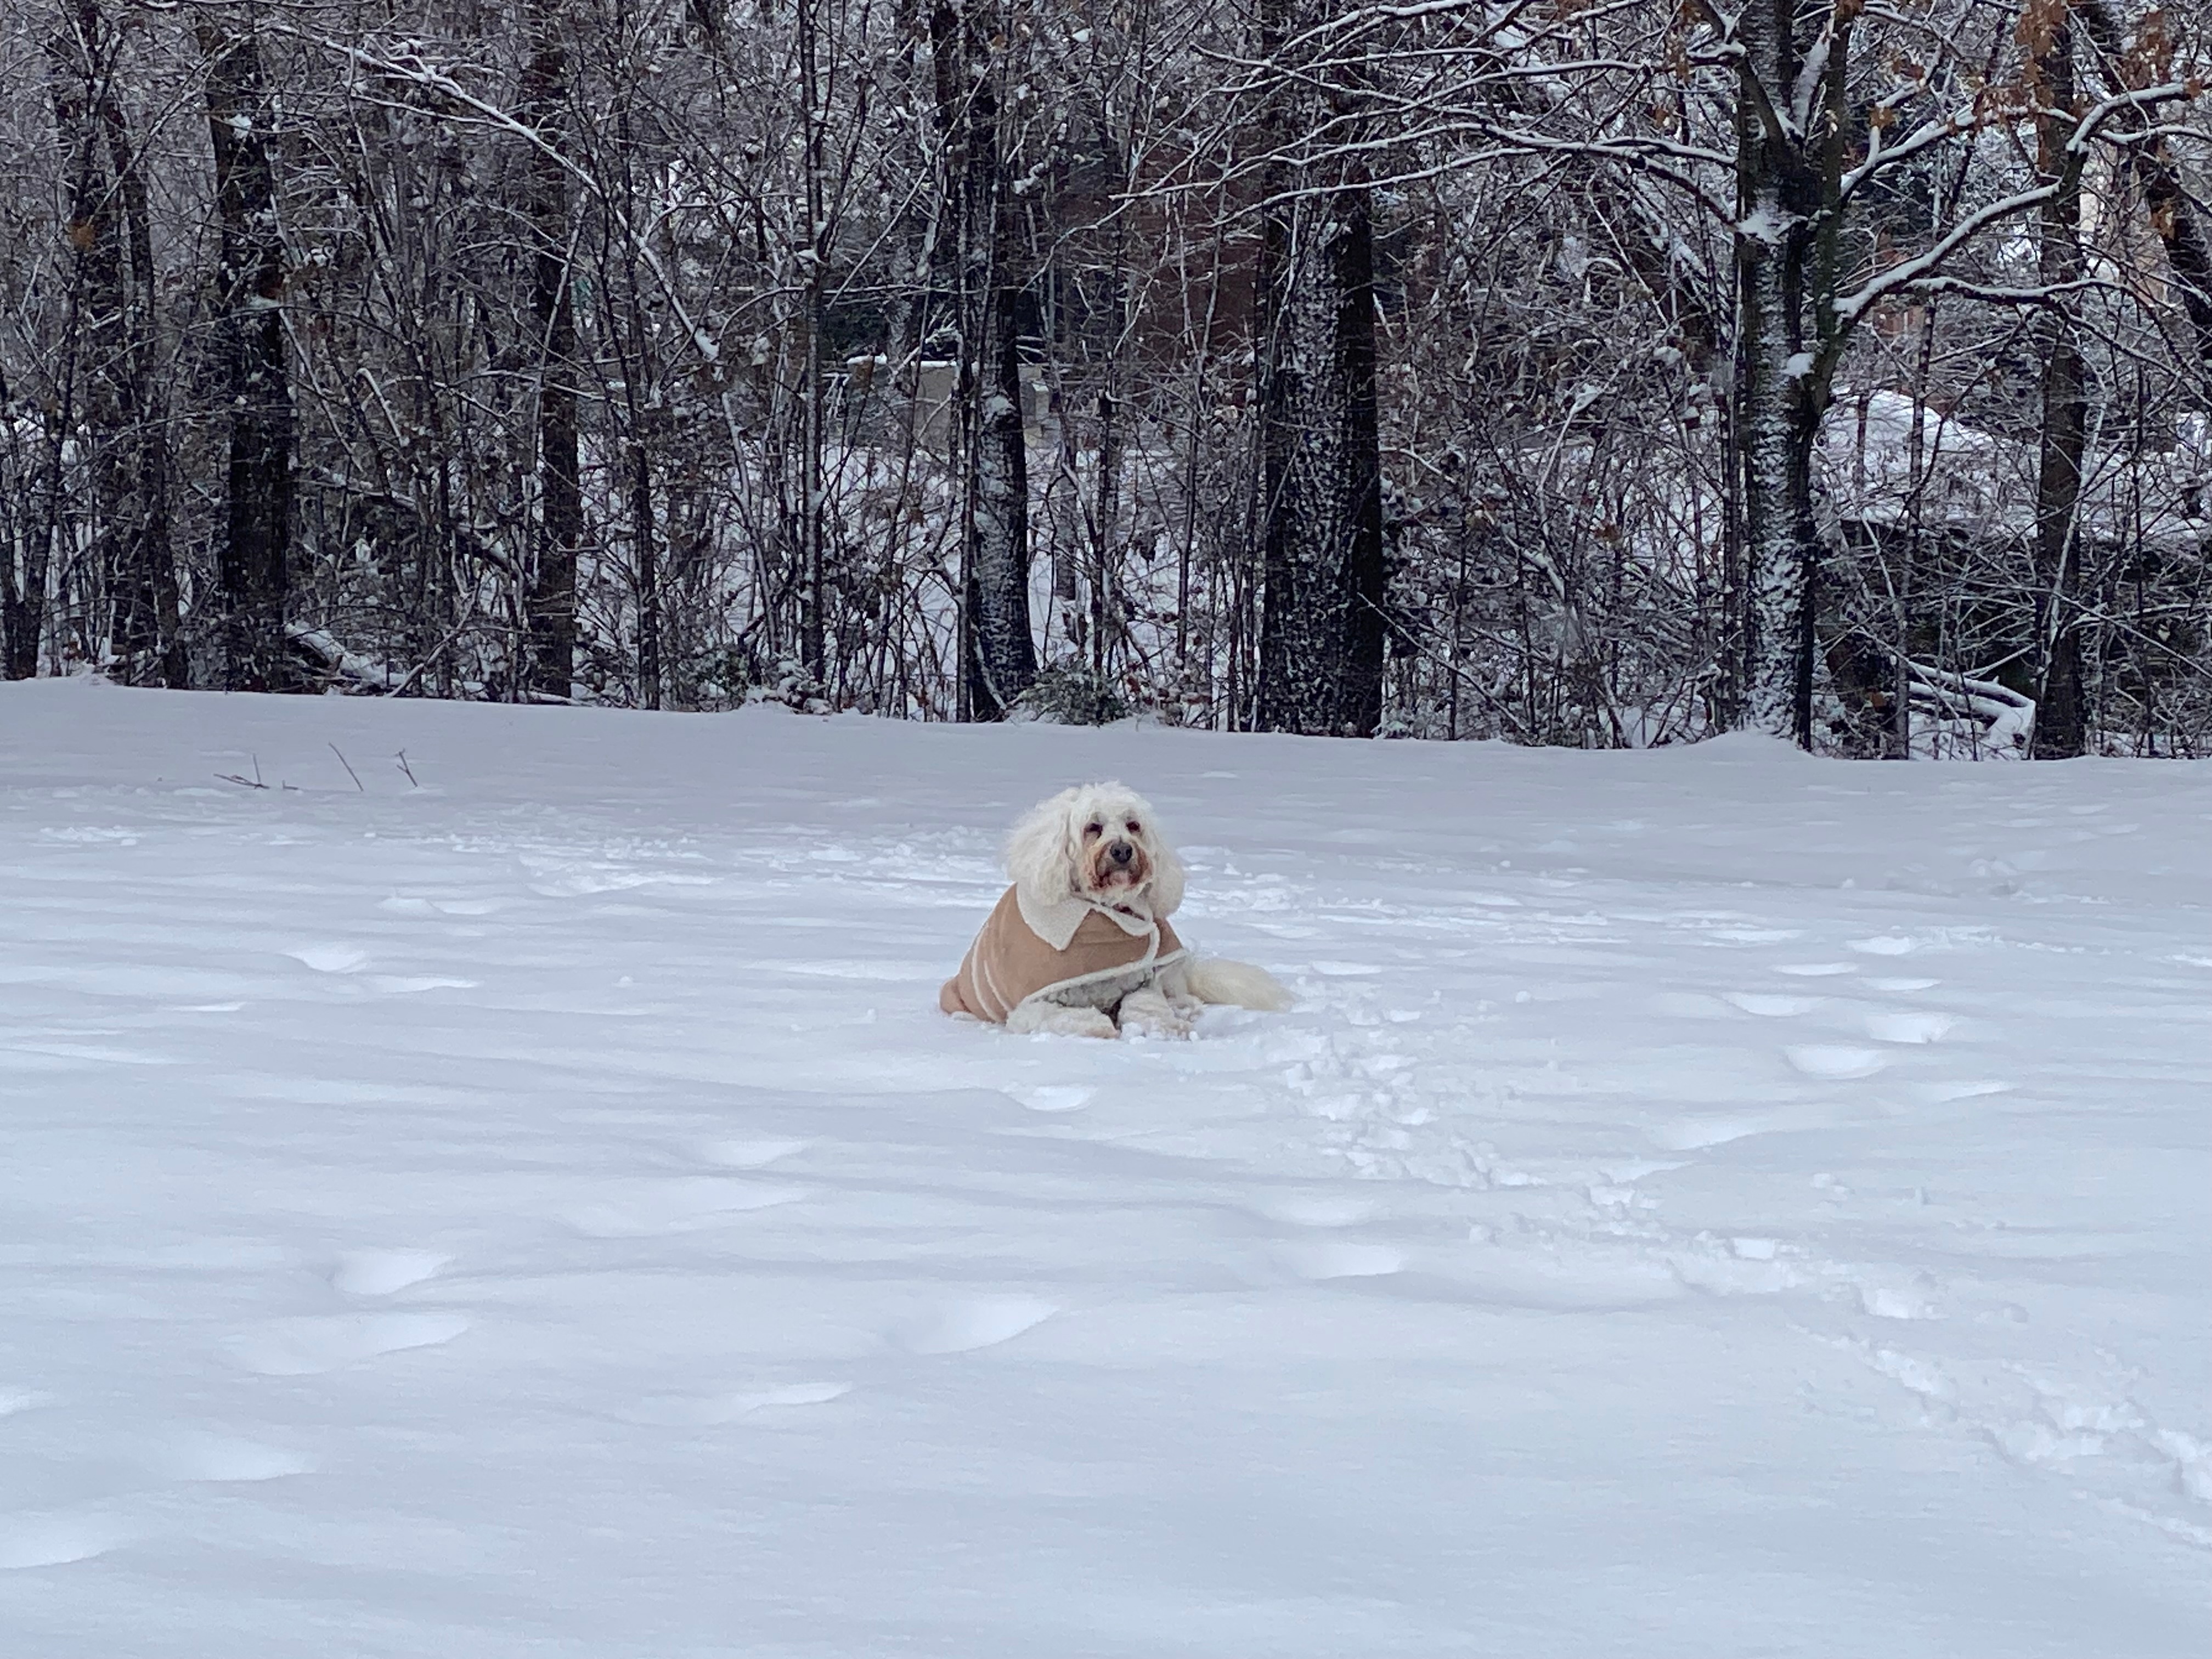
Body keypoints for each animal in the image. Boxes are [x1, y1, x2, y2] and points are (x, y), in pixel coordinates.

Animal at [938, 787, 1291, 1040]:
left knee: (1179, 992)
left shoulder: (1142, 983)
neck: (1105, 912)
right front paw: (1099, 1026)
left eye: (1134, 825)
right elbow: (1062, 1015)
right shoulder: (1029, 1006)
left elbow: (1146, 1003)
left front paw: (1164, 1027)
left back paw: (1184, 1008)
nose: (1123, 850)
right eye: (1093, 827)